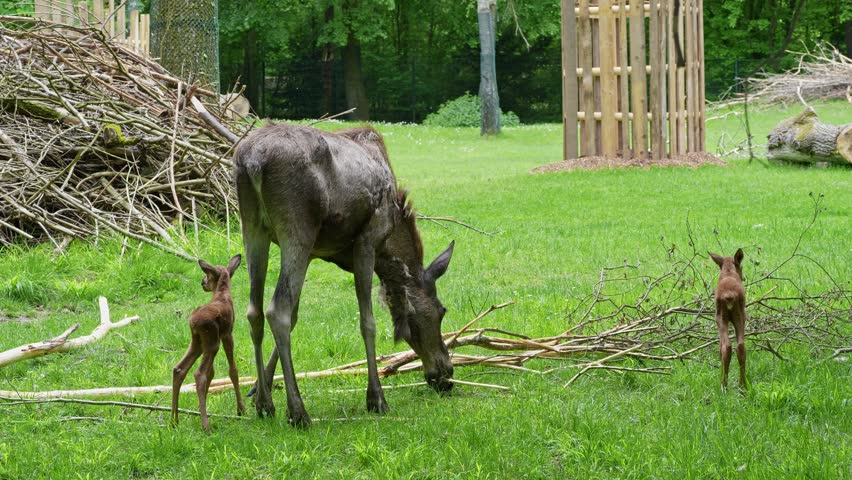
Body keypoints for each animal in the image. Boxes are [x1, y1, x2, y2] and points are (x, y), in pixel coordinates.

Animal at [171, 255, 246, 432]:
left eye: (207, 275)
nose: (202, 282)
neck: (222, 293)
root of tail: (192, 322)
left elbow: (212, 372)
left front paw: (200, 408)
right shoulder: (227, 334)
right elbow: (233, 370)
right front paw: (241, 409)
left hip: (198, 342)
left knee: (179, 369)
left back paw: (174, 421)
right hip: (211, 341)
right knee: (199, 374)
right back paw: (205, 426)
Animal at [233, 123, 455, 428]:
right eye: (441, 311)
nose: (447, 373)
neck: (390, 250)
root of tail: (252, 162)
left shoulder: (315, 252)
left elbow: (297, 316)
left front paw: (258, 387)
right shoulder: (367, 241)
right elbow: (367, 321)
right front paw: (376, 398)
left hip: (253, 227)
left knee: (255, 310)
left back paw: (265, 405)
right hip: (297, 228)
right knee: (277, 310)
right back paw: (298, 412)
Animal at [709, 249, 747, 391]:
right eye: (741, 267)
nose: (743, 277)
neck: (728, 272)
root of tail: (729, 296)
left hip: (720, 317)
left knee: (726, 346)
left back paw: (723, 385)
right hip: (740, 316)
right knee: (740, 346)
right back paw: (743, 385)